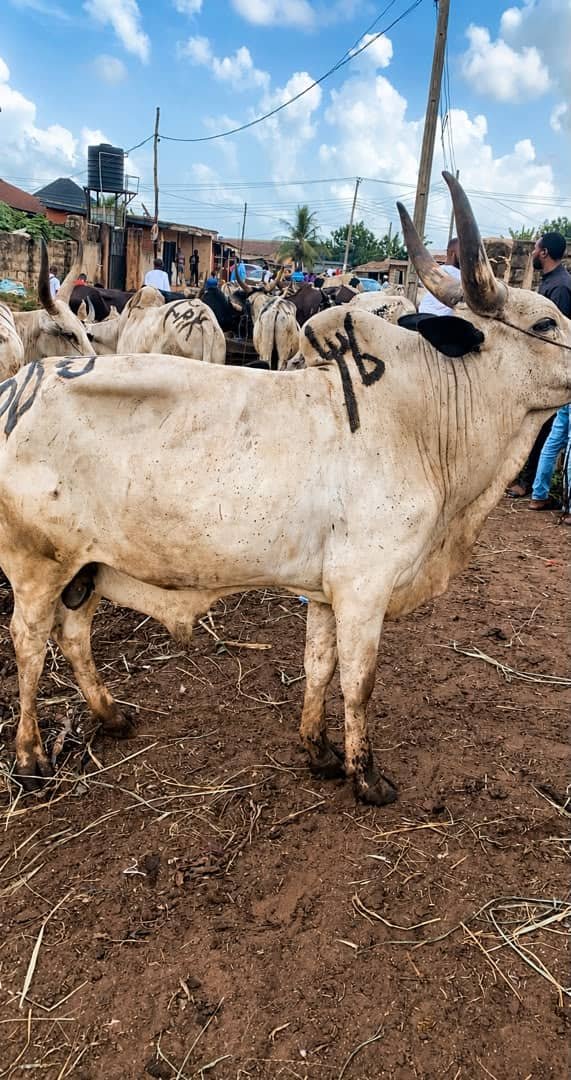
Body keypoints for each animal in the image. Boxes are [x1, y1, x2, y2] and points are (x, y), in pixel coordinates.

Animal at [2, 174, 571, 807]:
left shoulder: (324, 592)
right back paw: (30, 758)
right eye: (546, 324)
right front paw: (366, 775)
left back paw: (111, 716)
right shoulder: (364, 589)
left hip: (87, 567)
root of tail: (18, 385)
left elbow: (319, 666)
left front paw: (319, 751)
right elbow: (359, 682)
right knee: (29, 643)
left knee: (74, 635)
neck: (422, 420)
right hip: (37, 564)